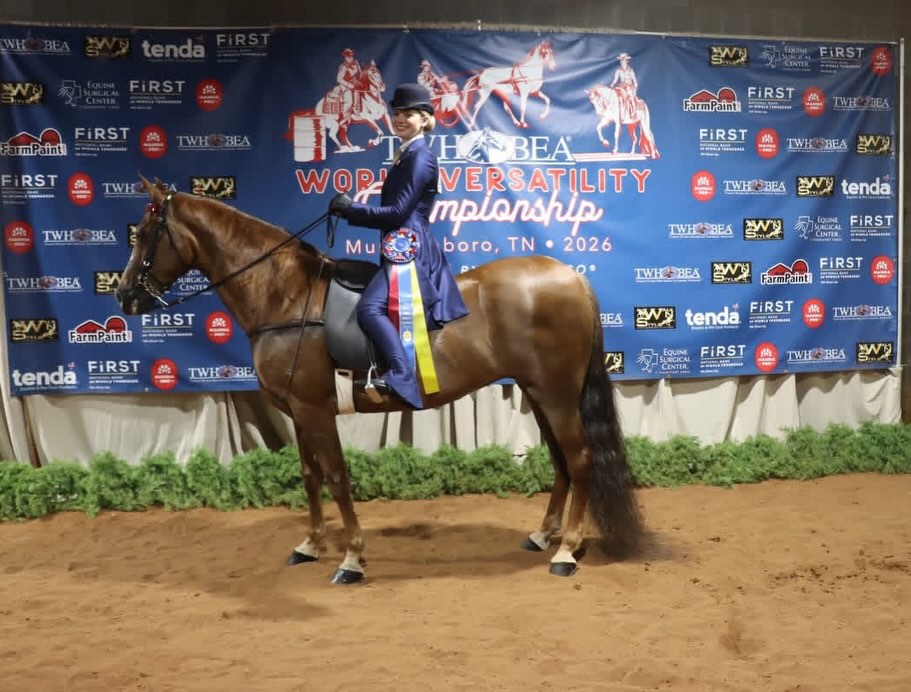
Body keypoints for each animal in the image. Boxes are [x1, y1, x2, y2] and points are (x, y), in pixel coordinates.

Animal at [115, 176, 643, 584]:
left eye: (146, 233)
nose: (124, 296)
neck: (284, 296)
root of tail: (571, 277)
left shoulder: (315, 410)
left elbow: (337, 477)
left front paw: (351, 558)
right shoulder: (296, 412)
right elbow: (309, 476)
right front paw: (310, 545)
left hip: (557, 393)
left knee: (579, 459)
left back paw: (567, 550)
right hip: (538, 392)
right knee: (560, 460)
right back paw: (543, 534)